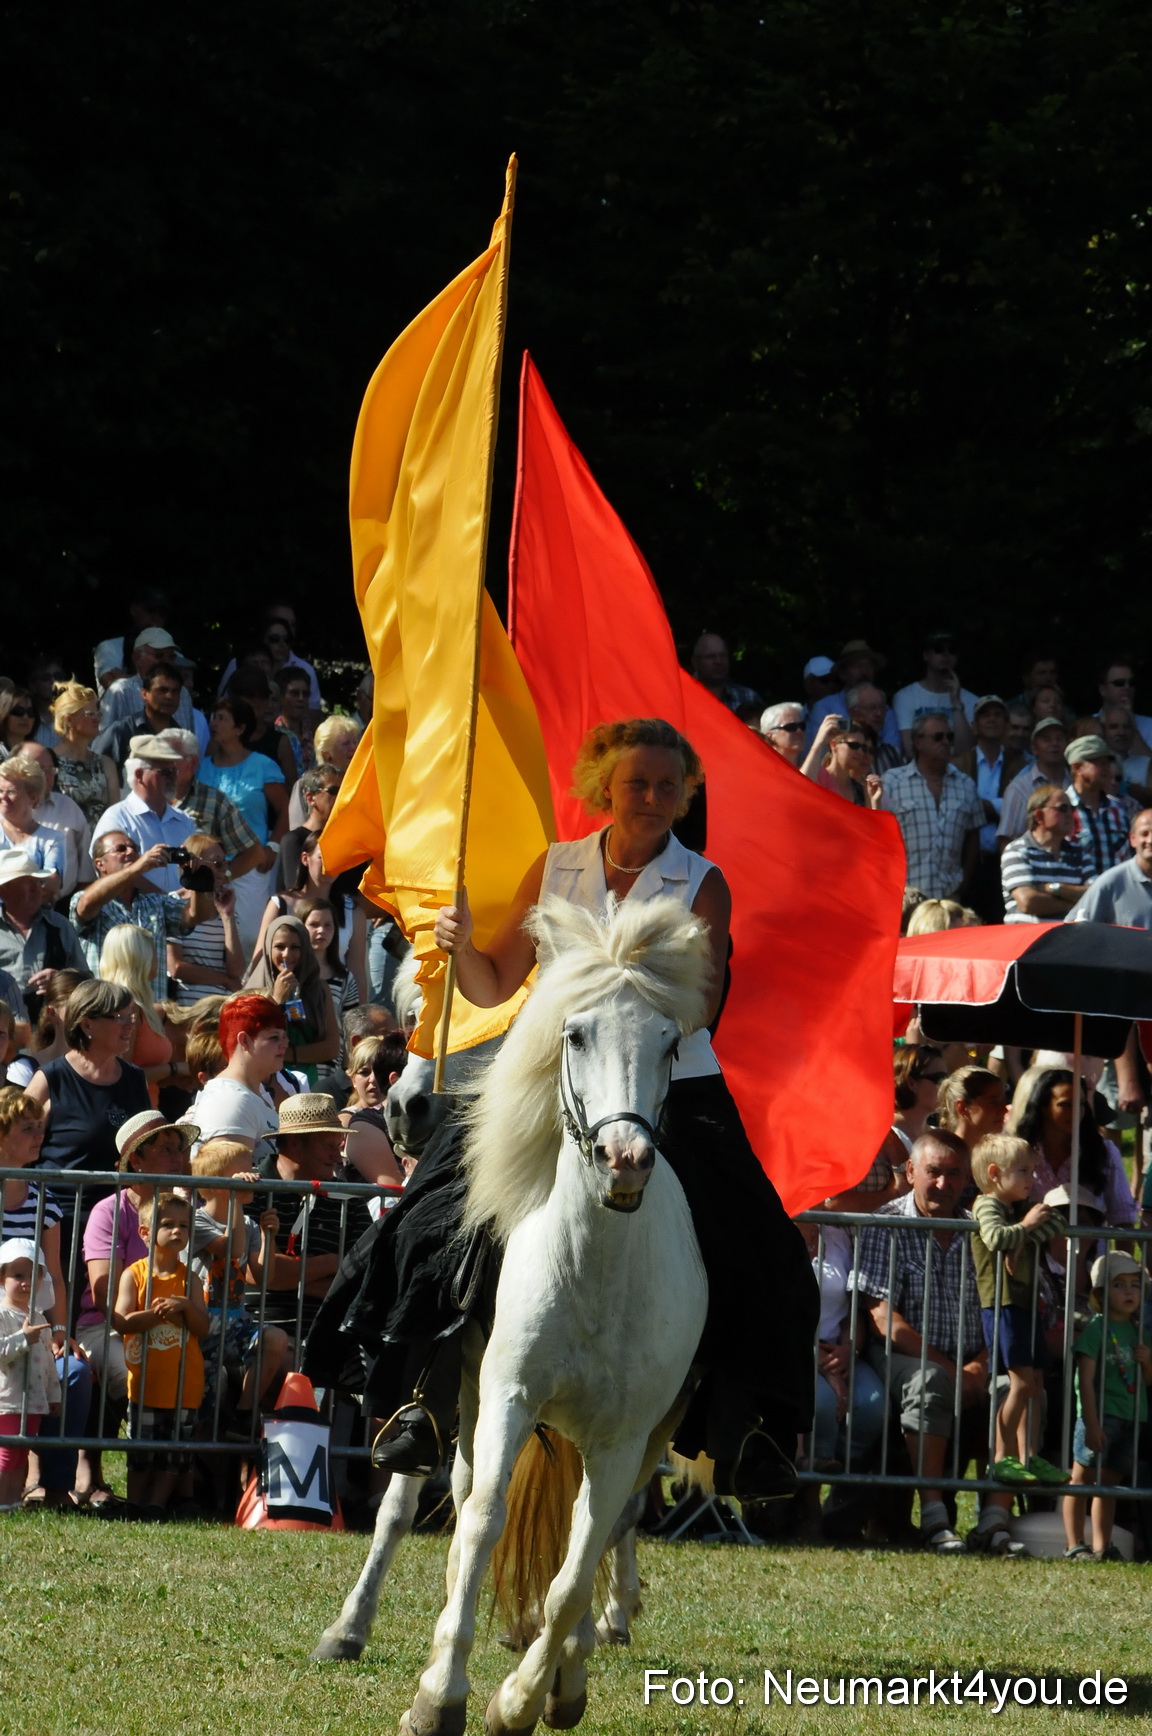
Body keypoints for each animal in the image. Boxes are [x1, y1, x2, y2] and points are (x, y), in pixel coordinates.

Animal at [397, 892, 710, 1736]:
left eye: (670, 1043)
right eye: (576, 1033)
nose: (624, 1160)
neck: (593, 1269)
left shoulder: (624, 1438)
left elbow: (577, 1569)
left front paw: (520, 1701)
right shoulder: (508, 1394)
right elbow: (482, 1521)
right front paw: (441, 1695)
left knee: (597, 1537)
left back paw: (565, 1673)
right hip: (474, 1397)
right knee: (470, 1500)